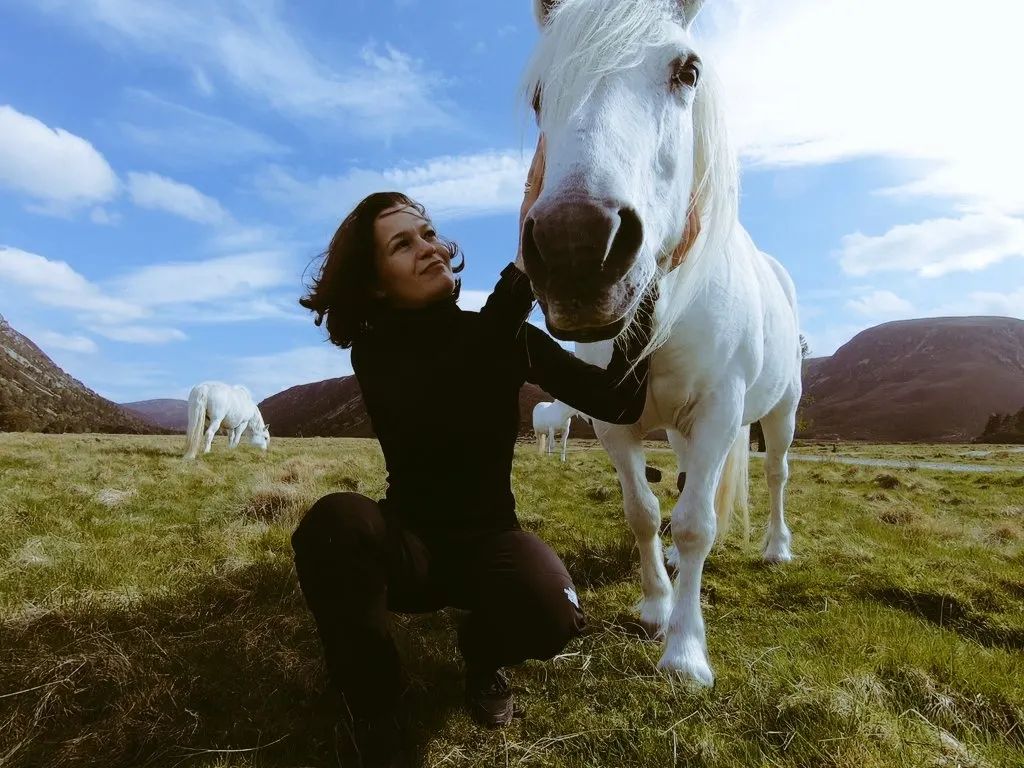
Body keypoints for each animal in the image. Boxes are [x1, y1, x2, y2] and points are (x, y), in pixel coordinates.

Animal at [524, 0, 802, 684]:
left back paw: (776, 547)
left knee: (776, 474)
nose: (576, 248)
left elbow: (697, 524)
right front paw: (655, 604)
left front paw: (684, 651)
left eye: (688, 71)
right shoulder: (609, 423)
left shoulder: (723, 410)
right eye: (539, 94)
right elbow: (645, 512)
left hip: (780, 411)